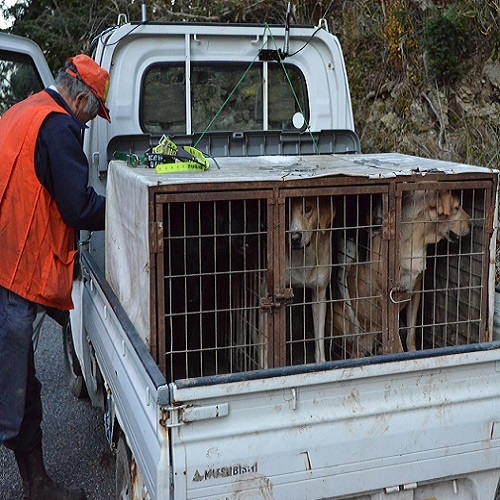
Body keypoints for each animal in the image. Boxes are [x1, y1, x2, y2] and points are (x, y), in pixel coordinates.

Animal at [336, 188, 468, 356]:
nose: (472, 224)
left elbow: (410, 334)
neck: (416, 242)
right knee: (353, 349)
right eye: (456, 208)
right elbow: (396, 338)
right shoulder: (388, 299)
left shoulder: (415, 292)